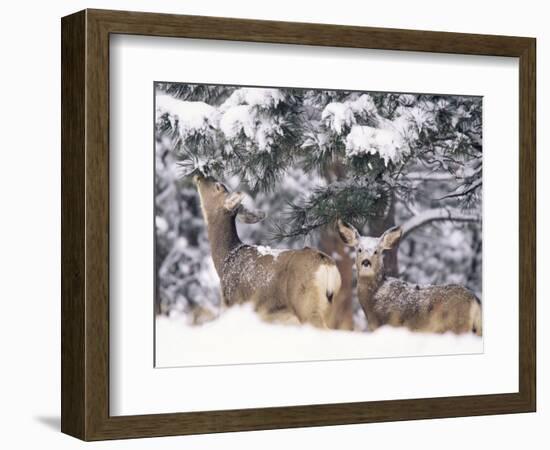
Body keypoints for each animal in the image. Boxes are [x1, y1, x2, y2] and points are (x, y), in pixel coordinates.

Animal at [193, 174, 340, 328]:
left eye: (218, 186)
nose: (199, 175)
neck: (226, 259)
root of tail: (327, 264)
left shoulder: (233, 303)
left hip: (306, 305)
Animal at [336, 220, 484, 336]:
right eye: (359, 249)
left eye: (376, 251)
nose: (366, 262)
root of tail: (475, 301)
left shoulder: (392, 323)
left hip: (458, 326)